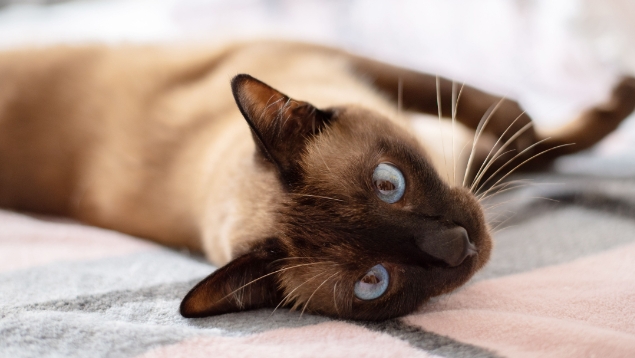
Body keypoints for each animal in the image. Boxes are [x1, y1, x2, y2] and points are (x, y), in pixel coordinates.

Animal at [1, 40, 635, 320]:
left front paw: (608, 104)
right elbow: (522, 151)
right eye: (373, 282)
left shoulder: (364, 66)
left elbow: (509, 117)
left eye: (388, 184)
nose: (459, 246)